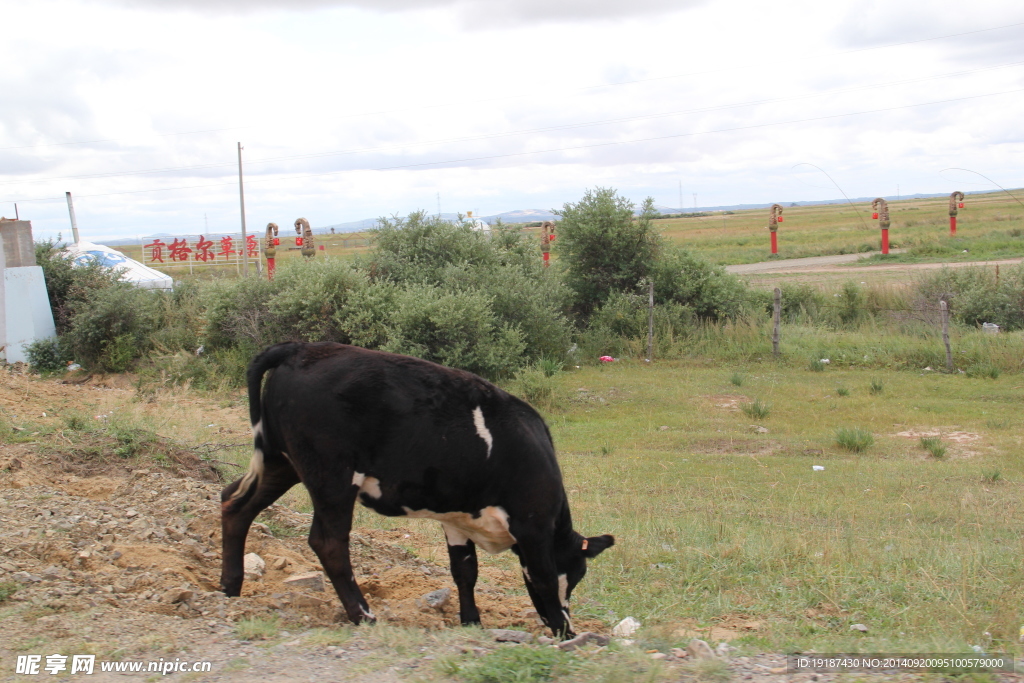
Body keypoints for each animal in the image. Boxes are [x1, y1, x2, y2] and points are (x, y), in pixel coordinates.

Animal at [220, 342, 610, 643]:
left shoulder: (458, 519)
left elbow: (465, 571)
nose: (567, 619)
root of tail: (302, 348)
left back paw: (229, 589)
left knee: (234, 503)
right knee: (328, 542)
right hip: (332, 476)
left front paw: (471, 622)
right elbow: (543, 578)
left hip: (279, 460)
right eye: (577, 574)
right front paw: (566, 633)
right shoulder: (533, 523)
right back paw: (363, 614)